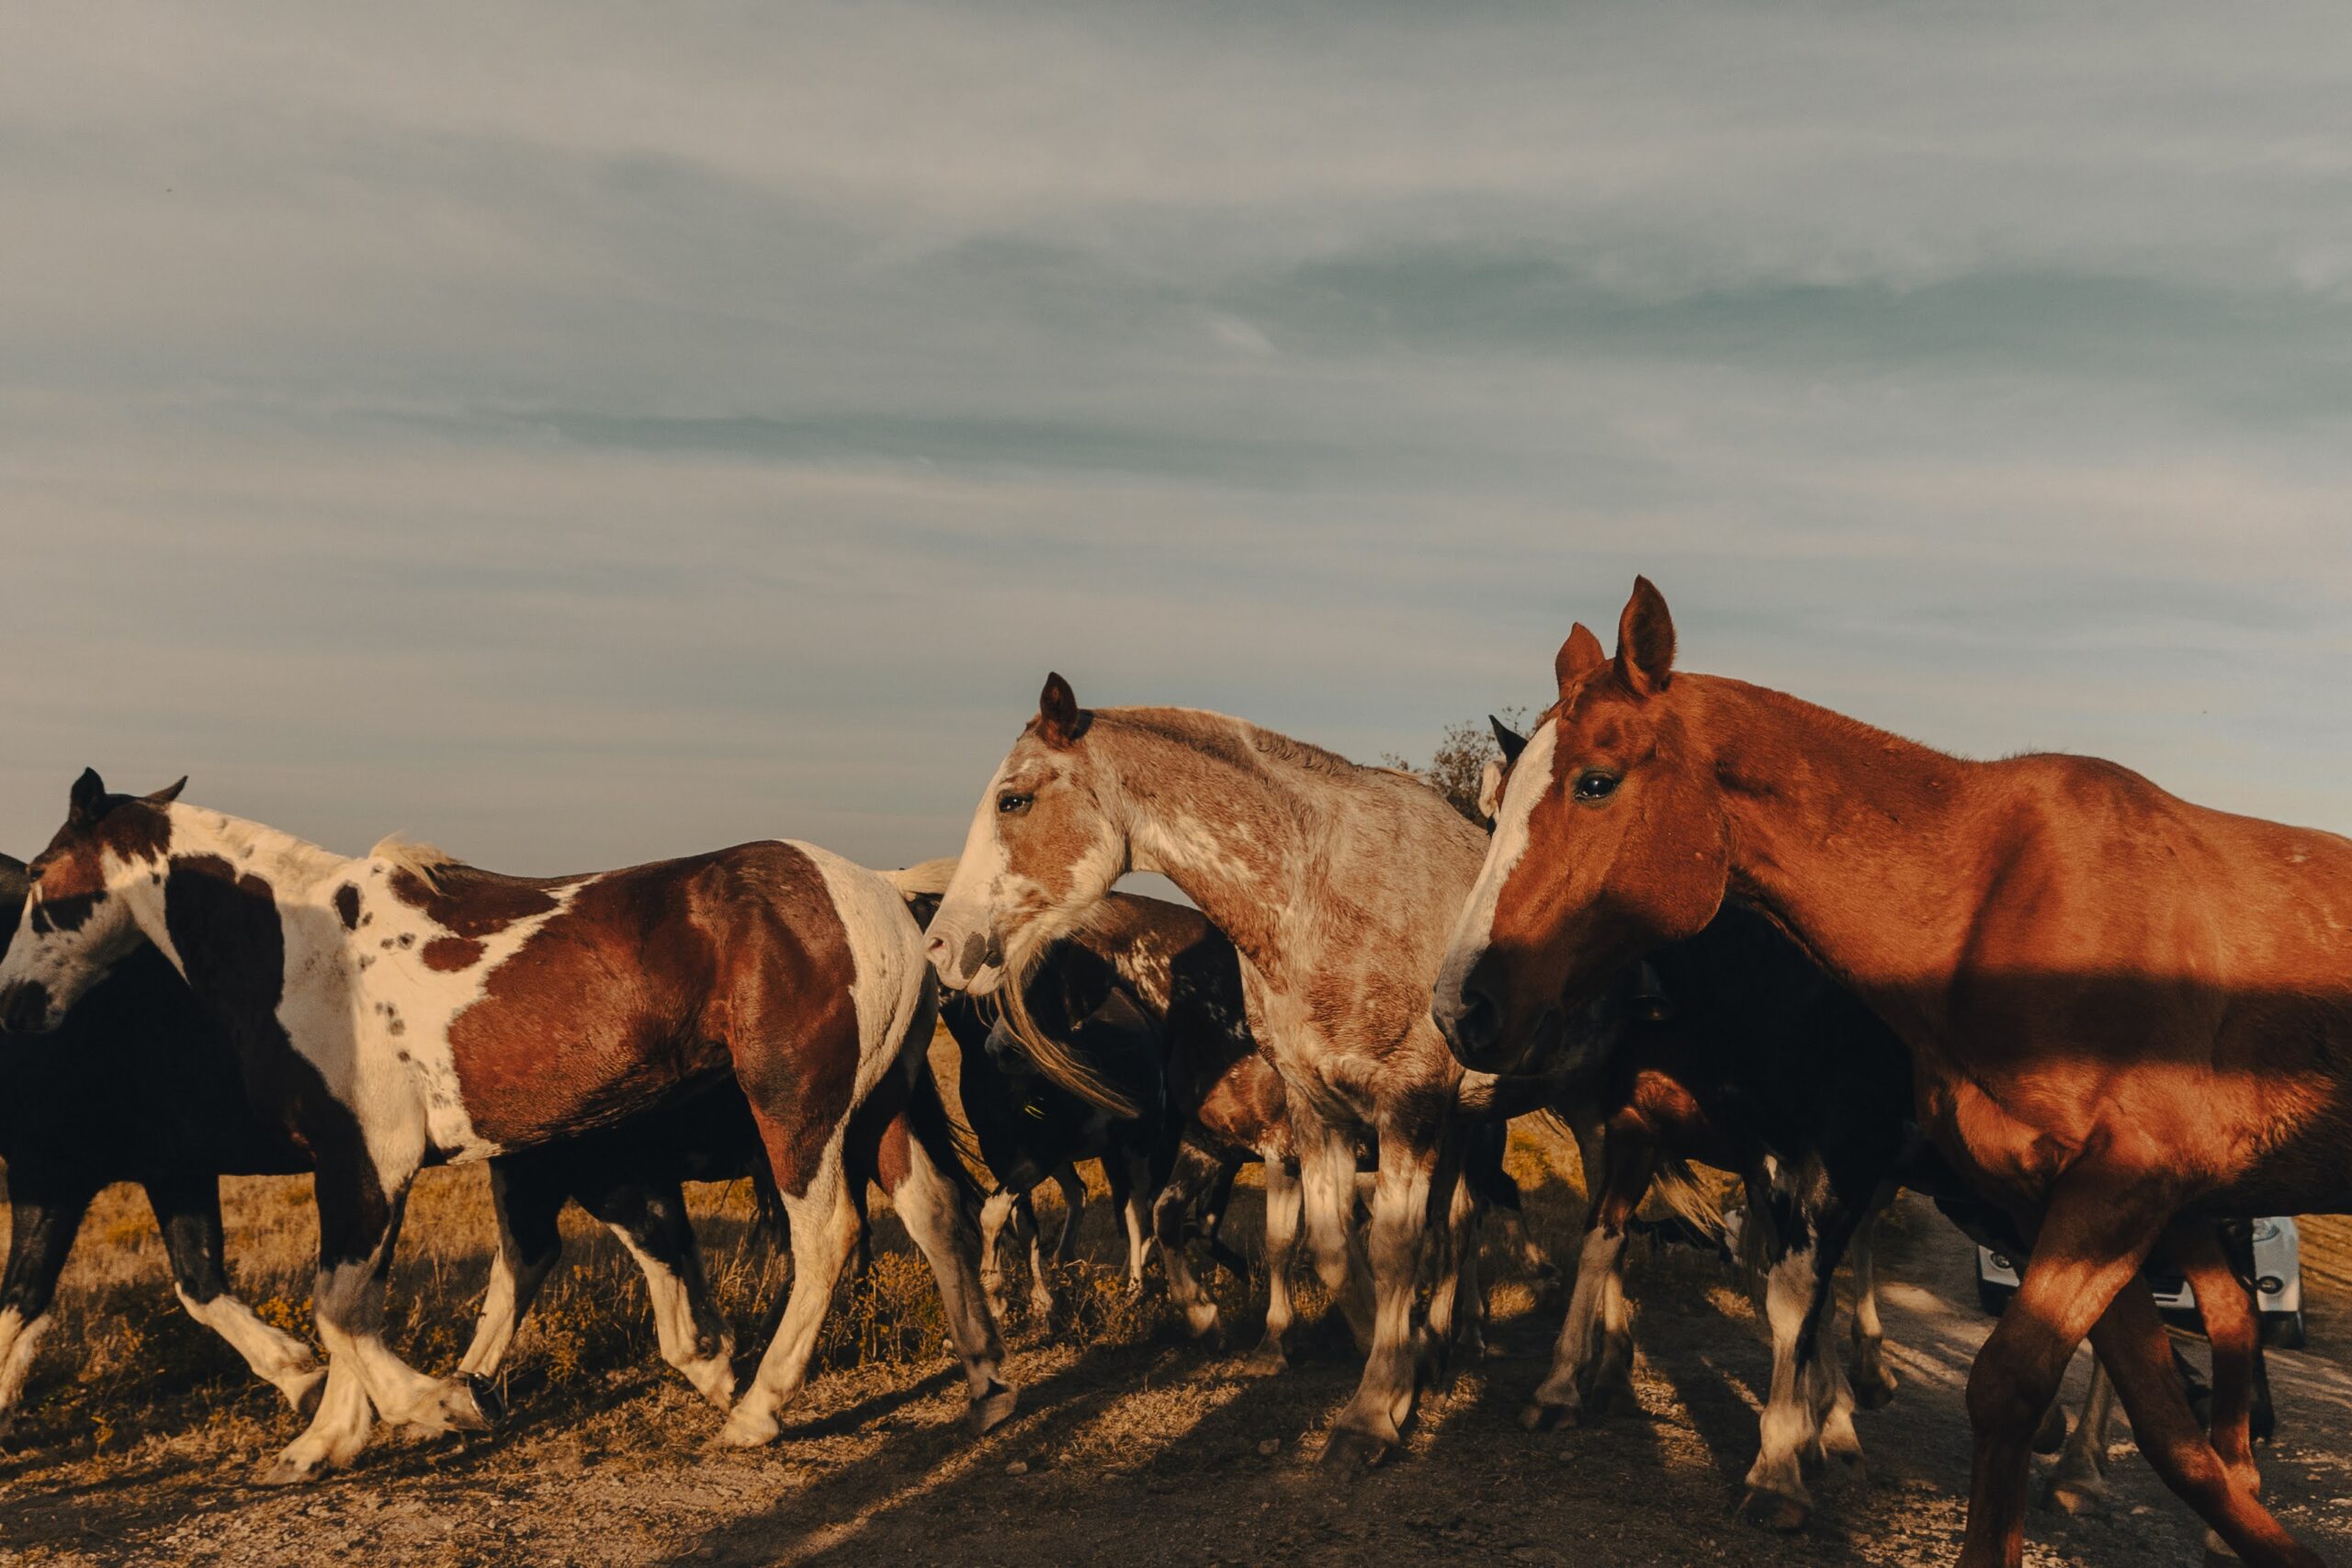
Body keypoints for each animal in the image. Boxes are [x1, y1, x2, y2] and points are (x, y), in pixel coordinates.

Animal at [0, 770, 1013, 1482]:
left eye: (43, 879)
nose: (15, 1001)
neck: (303, 954)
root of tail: (882, 890)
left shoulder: (367, 1161)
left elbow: (339, 1309)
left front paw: (435, 1406)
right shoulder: (357, 1168)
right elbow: (346, 1308)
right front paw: (326, 1442)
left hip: (799, 1112)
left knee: (826, 1236)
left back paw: (756, 1411)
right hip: (875, 1112)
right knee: (937, 1218)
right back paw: (986, 1387)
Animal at [919, 676, 1580, 1469]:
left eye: (1012, 799)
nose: (941, 945)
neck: (1330, 898)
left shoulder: (1400, 1107)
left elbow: (1383, 1248)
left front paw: (1371, 1411)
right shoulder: (1313, 1113)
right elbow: (1325, 1246)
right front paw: (1395, 1362)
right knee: (1460, 1222)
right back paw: (1459, 1342)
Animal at [1434, 577, 2348, 1568]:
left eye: (1595, 783)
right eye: (1497, 806)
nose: (1459, 1004)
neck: (1993, 906)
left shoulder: (2102, 1186)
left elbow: (1982, 1370)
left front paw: (1784, 1464)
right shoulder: (2049, 1195)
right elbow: (2150, 1418)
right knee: (2228, 1324)